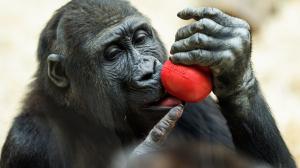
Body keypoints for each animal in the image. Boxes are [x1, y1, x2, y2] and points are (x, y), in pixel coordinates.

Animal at [0, 0, 296, 168]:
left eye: (140, 38)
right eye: (113, 54)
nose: (148, 71)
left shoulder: (201, 109)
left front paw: (232, 65)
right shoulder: (28, 142)